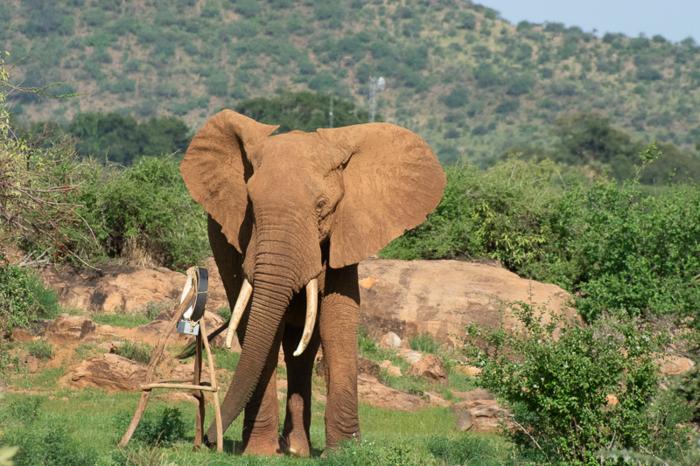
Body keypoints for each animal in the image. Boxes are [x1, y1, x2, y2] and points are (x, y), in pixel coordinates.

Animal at [179, 109, 445, 456]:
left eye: (321, 206)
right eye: (250, 204)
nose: (208, 440)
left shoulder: (348, 228)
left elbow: (338, 319)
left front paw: (345, 452)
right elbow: (259, 325)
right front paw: (261, 453)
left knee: (302, 348)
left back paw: (296, 449)